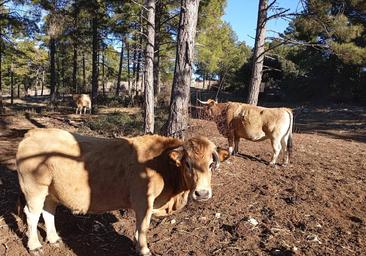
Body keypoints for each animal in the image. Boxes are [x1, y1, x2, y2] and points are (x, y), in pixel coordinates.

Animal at [17, 129, 230, 255]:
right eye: (187, 164)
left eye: (211, 164)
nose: (202, 193)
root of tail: (35, 132)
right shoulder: (143, 200)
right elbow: (143, 226)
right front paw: (143, 249)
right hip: (34, 187)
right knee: (32, 214)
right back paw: (34, 245)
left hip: (51, 189)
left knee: (48, 211)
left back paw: (54, 238)